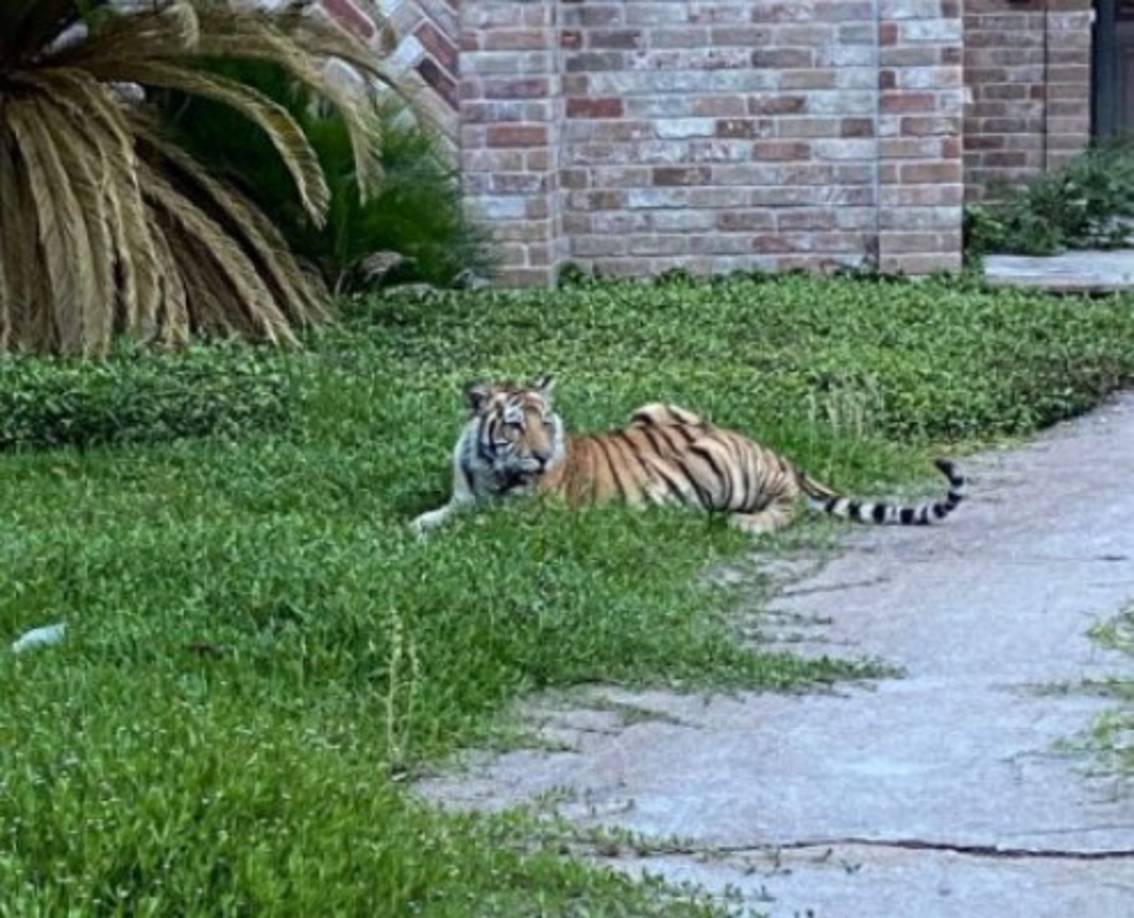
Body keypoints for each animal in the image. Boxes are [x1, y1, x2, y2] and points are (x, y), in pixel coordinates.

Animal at [410, 376, 966, 536]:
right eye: (514, 426)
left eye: (546, 423)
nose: (543, 458)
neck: (489, 470)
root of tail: (775, 451)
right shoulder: (463, 497)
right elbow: (433, 516)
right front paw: (414, 525)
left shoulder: (530, 515)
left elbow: (478, 525)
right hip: (654, 408)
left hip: (726, 468)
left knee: (788, 505)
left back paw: (747, 524)